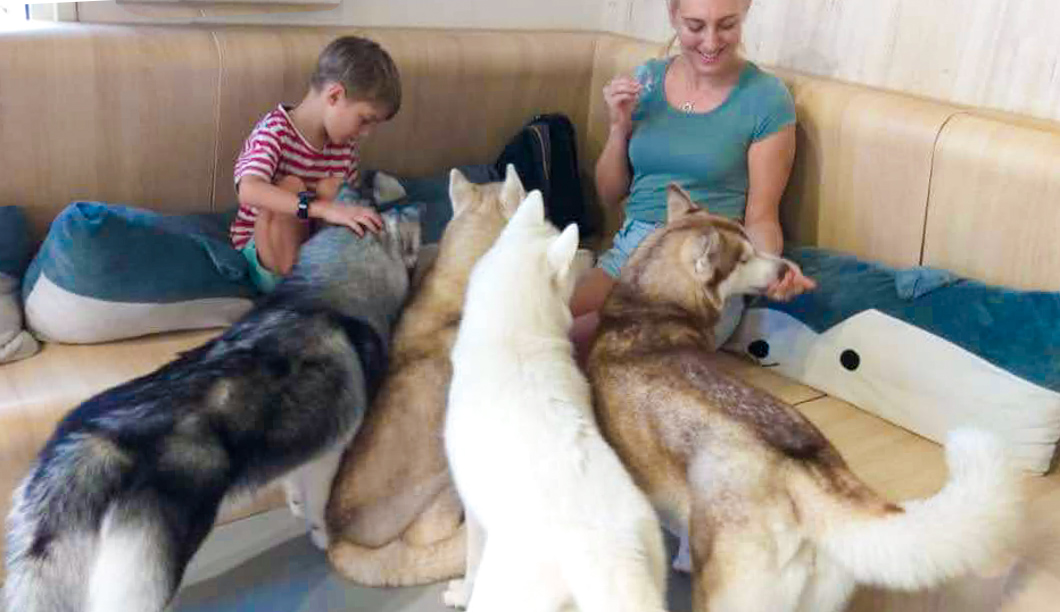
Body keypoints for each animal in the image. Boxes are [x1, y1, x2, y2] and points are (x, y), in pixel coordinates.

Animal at [8, 218, 421, 610]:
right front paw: (321, 537)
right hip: (150, 575)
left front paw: (293, 503)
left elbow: (293, 483)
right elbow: (319, 508)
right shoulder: (328, 456)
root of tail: (94, 442)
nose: (419, 212)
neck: (322, 298)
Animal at [443, 191, 665, 610]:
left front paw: (458, 591)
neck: (513, 338)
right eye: (575, 253)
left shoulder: (473, 512)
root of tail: (606, 558)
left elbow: (470, 564)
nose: (593, 253)